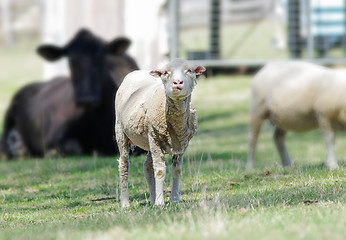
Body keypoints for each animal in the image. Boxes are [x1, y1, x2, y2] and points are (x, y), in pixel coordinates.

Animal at [113, 58, 205, 208]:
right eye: (165, 73)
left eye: (189, 71)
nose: (177, 83)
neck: (175, 126)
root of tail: (136, 71)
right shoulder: (155, 138)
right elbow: (160, 170)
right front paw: (160, 202)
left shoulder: (182, 144)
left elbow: (177, 170)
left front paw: (174, 199)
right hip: (121, 131)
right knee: (124, 165)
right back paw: (125, 202)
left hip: (149, 139)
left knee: (147, 166)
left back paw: (152, 198)